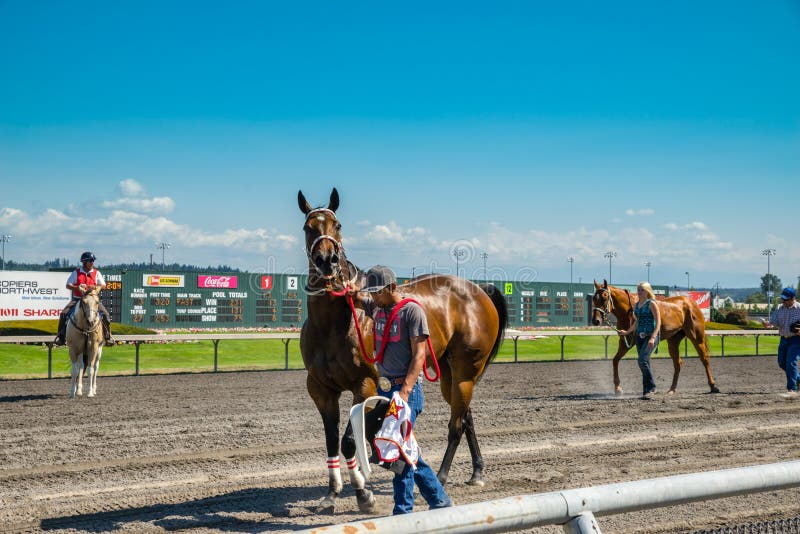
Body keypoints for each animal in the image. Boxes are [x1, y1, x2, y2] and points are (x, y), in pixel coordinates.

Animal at [298, 188, 508, 514]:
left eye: (338, 225)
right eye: (309, 227)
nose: (327, 260)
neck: (334, 322)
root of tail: (478, 289)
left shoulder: (365, 385)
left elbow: (348, 440)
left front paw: (363, 494)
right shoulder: (320, 389)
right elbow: (332, 440)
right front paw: (331, 494)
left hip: (465, 369)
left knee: (456, 424)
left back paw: (442, 476)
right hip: (448, 372)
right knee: (466, 416)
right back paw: (477, 472)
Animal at [591, 279, 720, 395]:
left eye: (604, 297)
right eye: (593, 299)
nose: (595, 321)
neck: (629, 311)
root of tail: (690, 302)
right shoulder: (625, 342)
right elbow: (615, 360)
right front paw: (618, 388)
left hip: (697, 337)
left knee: (704, 359)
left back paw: (713, 386)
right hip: (673, 341)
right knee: (678, 363)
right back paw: (672, 389)